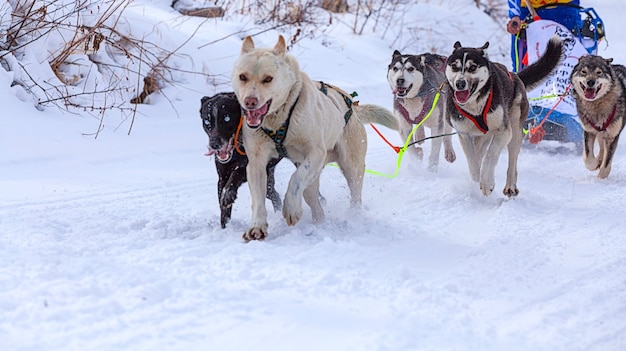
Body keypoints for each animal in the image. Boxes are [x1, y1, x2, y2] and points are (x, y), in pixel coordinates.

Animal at [200, 92, 280, 230]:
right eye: (206, 120)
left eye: (227, 118)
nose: (214, 144)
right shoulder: (222, 177)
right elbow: (223, 208)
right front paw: (225, 228)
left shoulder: (249, 166)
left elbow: (236, 173)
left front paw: (228, 195)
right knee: (274, 195)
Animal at [232, 35, 398, 242]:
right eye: (243, 77)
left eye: (268, 79)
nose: (250, 101)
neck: (279, 120)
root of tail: (353, 106)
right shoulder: (256, 162)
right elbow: (258, 198)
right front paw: (257, 226)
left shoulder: (316, 153)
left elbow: (295, 179)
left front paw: (291, 208)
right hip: (314, 178)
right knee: (312, 199)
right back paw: (319, 222)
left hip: (352, 167)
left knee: (354, 195)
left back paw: (354, 217)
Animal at [444, 36, 560, 197]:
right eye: (454, 67)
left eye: (472, 67)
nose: (460, 83)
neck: (475, 105)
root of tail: (515, 76)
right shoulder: (464, 133)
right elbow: (471, 157)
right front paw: (476, 175)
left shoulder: (504, 131)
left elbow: (491, 155)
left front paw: (487, 182)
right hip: (483, 136)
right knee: (479, 152)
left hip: (515, 131)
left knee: (512, 162)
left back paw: (510, 186)